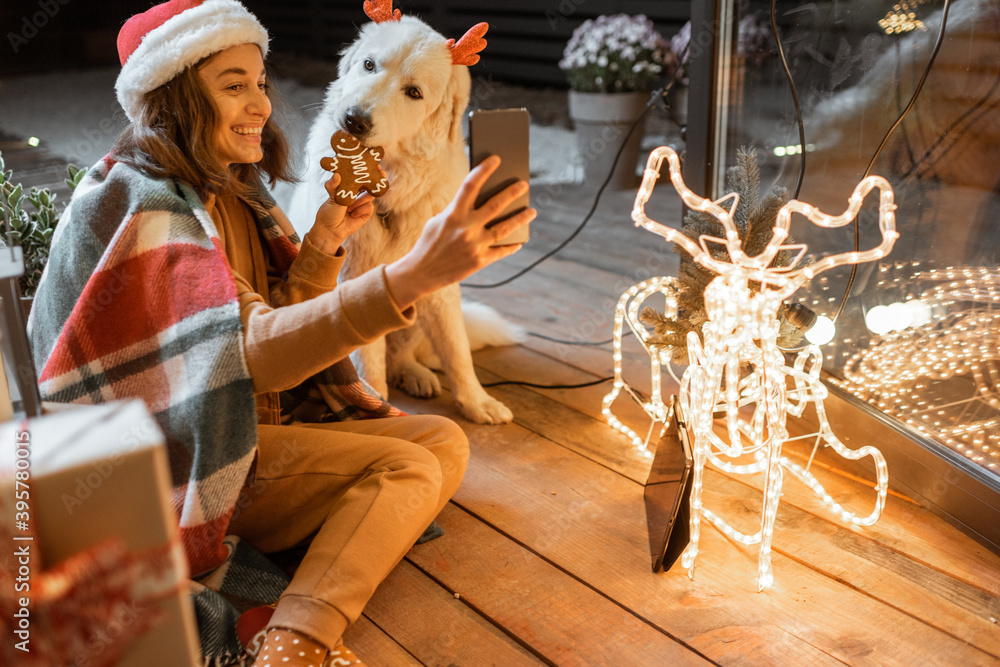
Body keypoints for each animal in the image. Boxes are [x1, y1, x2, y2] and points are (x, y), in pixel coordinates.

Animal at [288, 2, 520, 426]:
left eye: (413, 93)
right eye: (369, 65)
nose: (355, 119)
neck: (388, 182)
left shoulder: (440, 282)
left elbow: (456, 349)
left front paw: (476, 402)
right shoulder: (354, 276)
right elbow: (368, 358)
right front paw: (376, 406)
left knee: (407, 352)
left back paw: (416, 374)